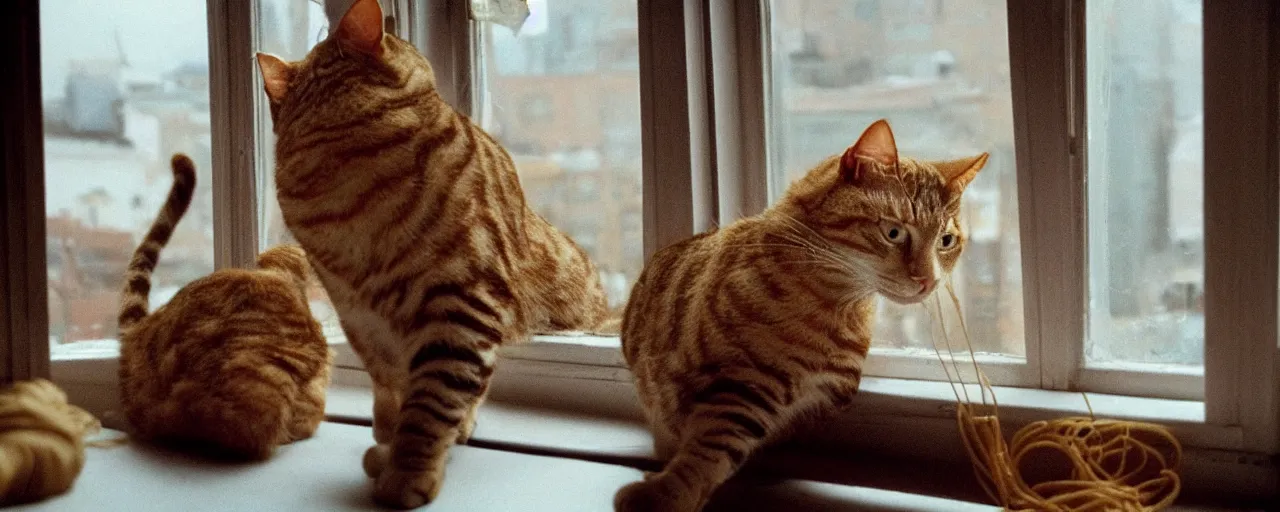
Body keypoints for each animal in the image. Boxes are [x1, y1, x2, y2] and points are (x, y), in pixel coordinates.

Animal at [254, 0, 609, 506]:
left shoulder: (461, 304)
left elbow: (430, 404)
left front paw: (407, 471)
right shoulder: (362, 318)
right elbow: (400, 393)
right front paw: (391, 447)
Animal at [611, 120, 988, 512]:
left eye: (946, 241)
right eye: (894, 232)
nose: (928, 280)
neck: (835, 303)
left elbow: (717, 448)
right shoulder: (745, 383)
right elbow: (709, 450)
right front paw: (668, 492)